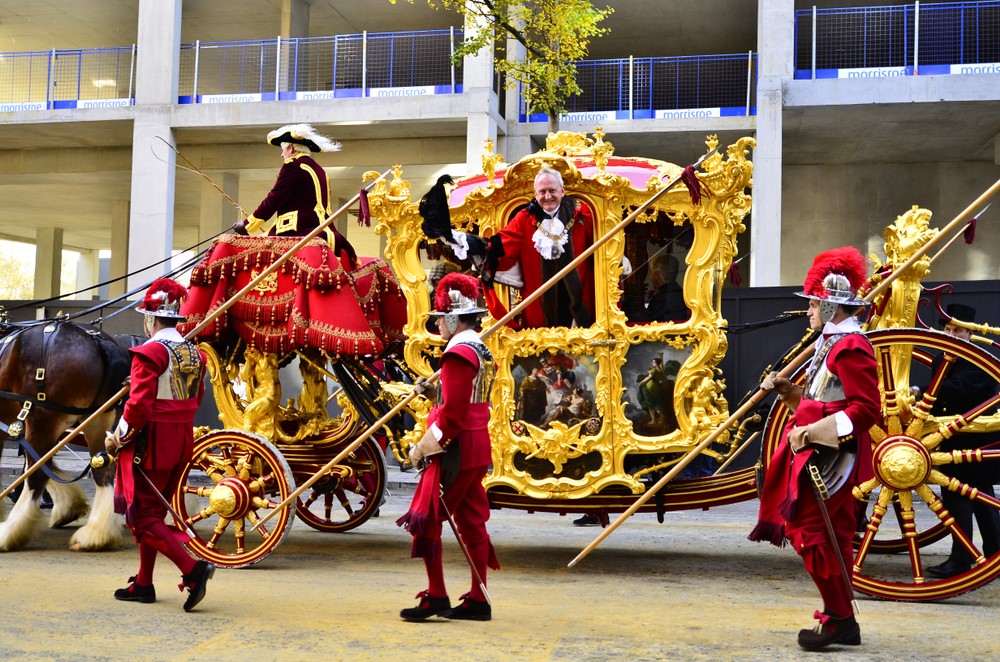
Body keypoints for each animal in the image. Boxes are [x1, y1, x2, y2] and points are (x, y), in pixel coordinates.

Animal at [0, 322, 132, 556]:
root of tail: (99, 341)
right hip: (98, 422)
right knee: (102, 471)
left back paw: (8, 533)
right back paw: (96, 535)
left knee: (36, 476)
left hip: (43, 421)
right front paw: (69, 508)